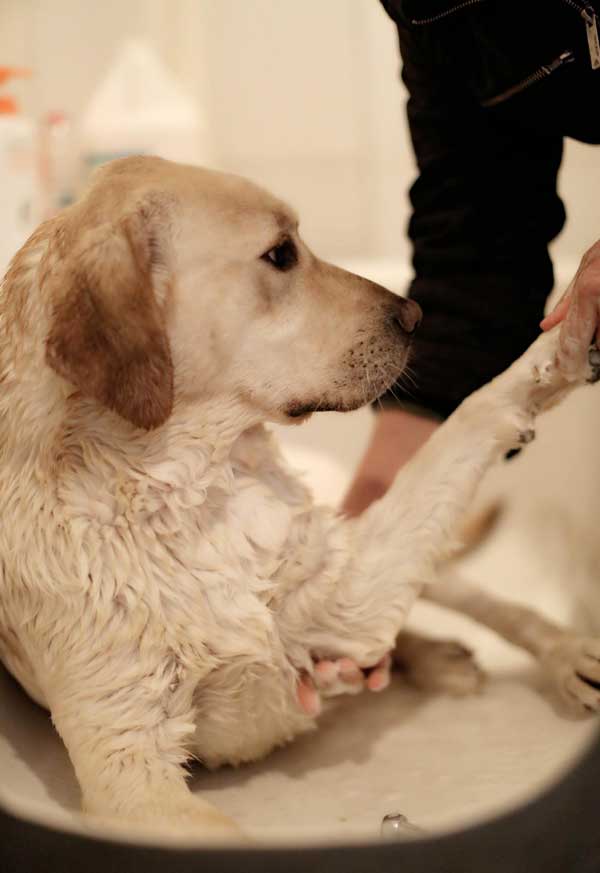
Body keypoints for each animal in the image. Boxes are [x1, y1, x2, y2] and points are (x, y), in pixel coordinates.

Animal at [1, 155, 600, 836]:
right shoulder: (133, 775)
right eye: (282, 254)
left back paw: (560, 655)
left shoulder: (346, 589)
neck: (192, 494)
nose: (415, 314)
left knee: (494, 604)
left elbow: (473, 411)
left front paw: (569, 331)